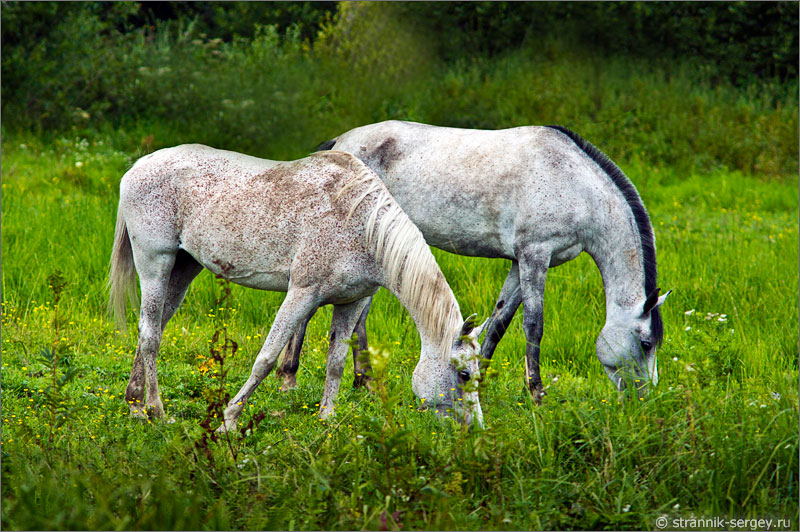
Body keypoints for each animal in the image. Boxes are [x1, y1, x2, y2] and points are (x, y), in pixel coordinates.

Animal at [108, 147, 484, 432]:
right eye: (464, 374)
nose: (475, 430)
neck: (363, 224)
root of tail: (138, 166)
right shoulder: (302, 293)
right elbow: (266, 358)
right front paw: (229, 420)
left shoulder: (351, 303)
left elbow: (336, 362)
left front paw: (327, 419)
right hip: (155, 264)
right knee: (150, 333)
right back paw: (156, 411)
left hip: (184, 268)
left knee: (155, 328)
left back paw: (134, 404)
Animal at [280, 121, 668, 404]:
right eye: (647, 344)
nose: (644, 400)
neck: (575, 183)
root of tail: (340, 143)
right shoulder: (534, 255)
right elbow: (533, 325)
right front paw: (536, 394)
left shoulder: (519, 262)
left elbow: (499, 322)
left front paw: (478, 383)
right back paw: (290, 378)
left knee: (355, 318)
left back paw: (364, 383)